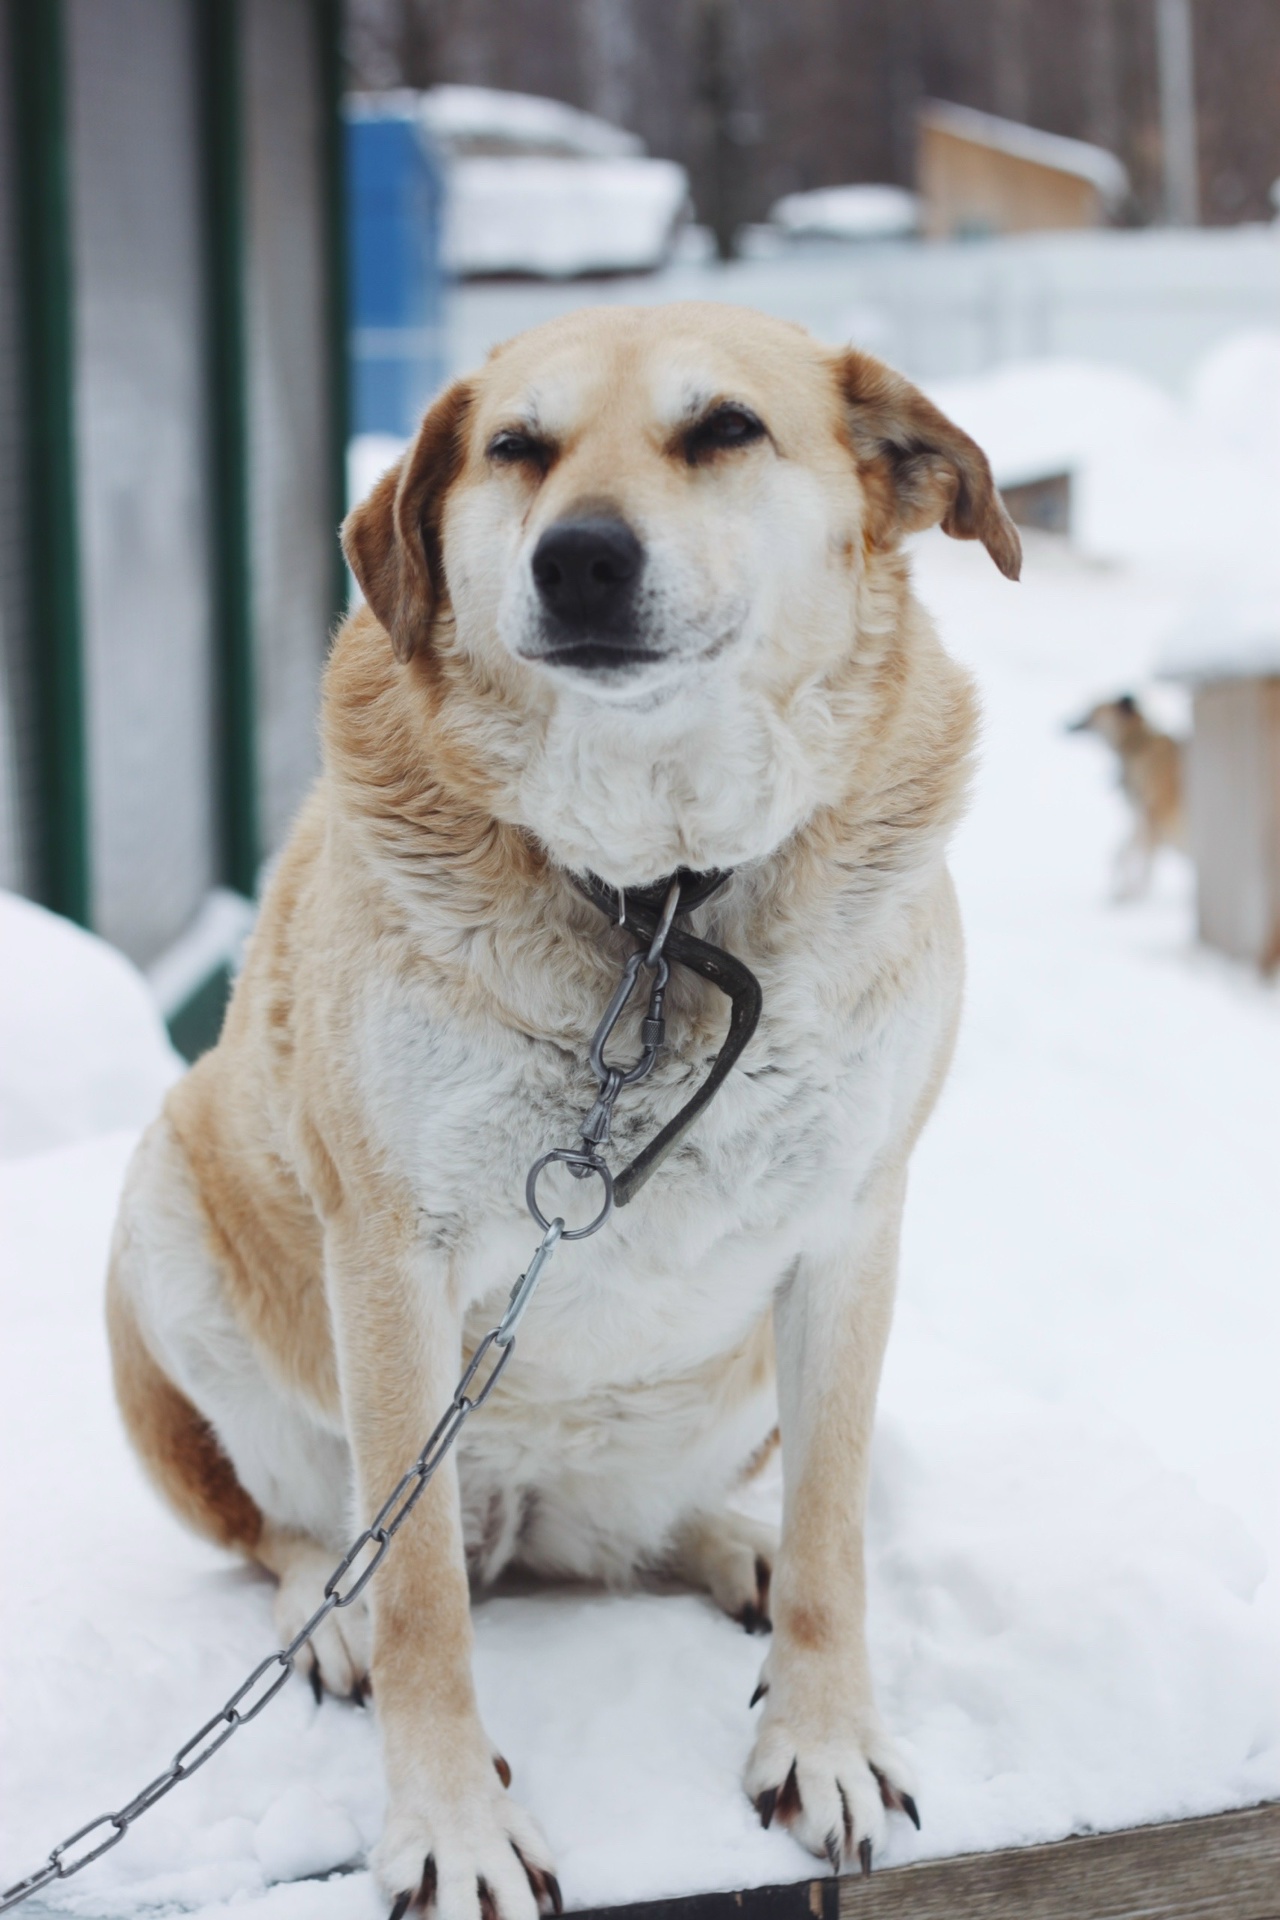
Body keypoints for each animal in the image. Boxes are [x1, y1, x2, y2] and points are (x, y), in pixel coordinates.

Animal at [107, 302, 1020, 1918]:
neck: (660, 903)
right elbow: (418, 1596)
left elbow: (838, 1528)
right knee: (300, 1534)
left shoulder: (853, 1225)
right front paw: (452, 1828)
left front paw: (823, 1736)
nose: (578, 558)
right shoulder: (392, 1256)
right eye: (515, 449)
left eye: (723, 429)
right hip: (168, 1212)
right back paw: (325, 1616)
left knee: (657, 1538)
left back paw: (730, 1545)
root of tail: (527, 1522)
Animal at [1067, 694, 1186, 899]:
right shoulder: (1141, 821)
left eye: (1089, 710)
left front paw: (1131, 895)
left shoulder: (1150, 820)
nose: (1063, 723)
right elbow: (1120, 854)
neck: (1138, 745)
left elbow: (1137, 861)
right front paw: (1123, 892)